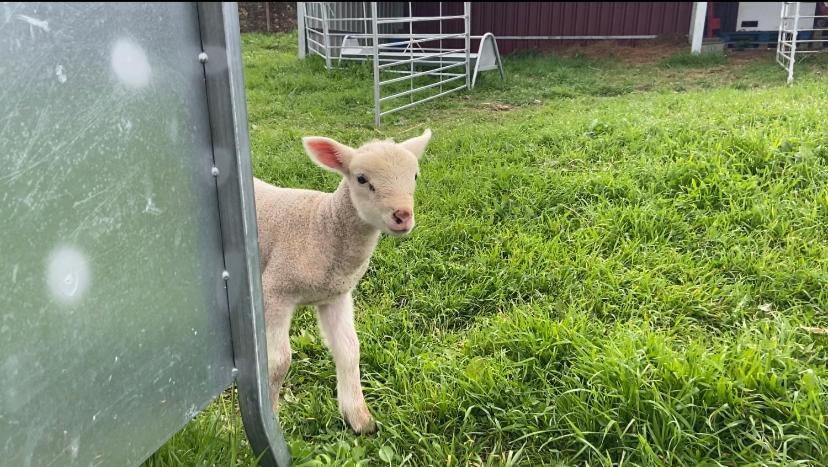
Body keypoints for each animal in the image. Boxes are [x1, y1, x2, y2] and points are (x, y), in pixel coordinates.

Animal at [254, 129, 434, 436]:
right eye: (361, 179)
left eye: (415, 175)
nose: (402, 215)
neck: (319, 225)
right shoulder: (274, 290)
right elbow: (279, 362)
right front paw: (272, 417)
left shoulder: (335, 296)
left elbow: (349, 350)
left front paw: (360, 419)